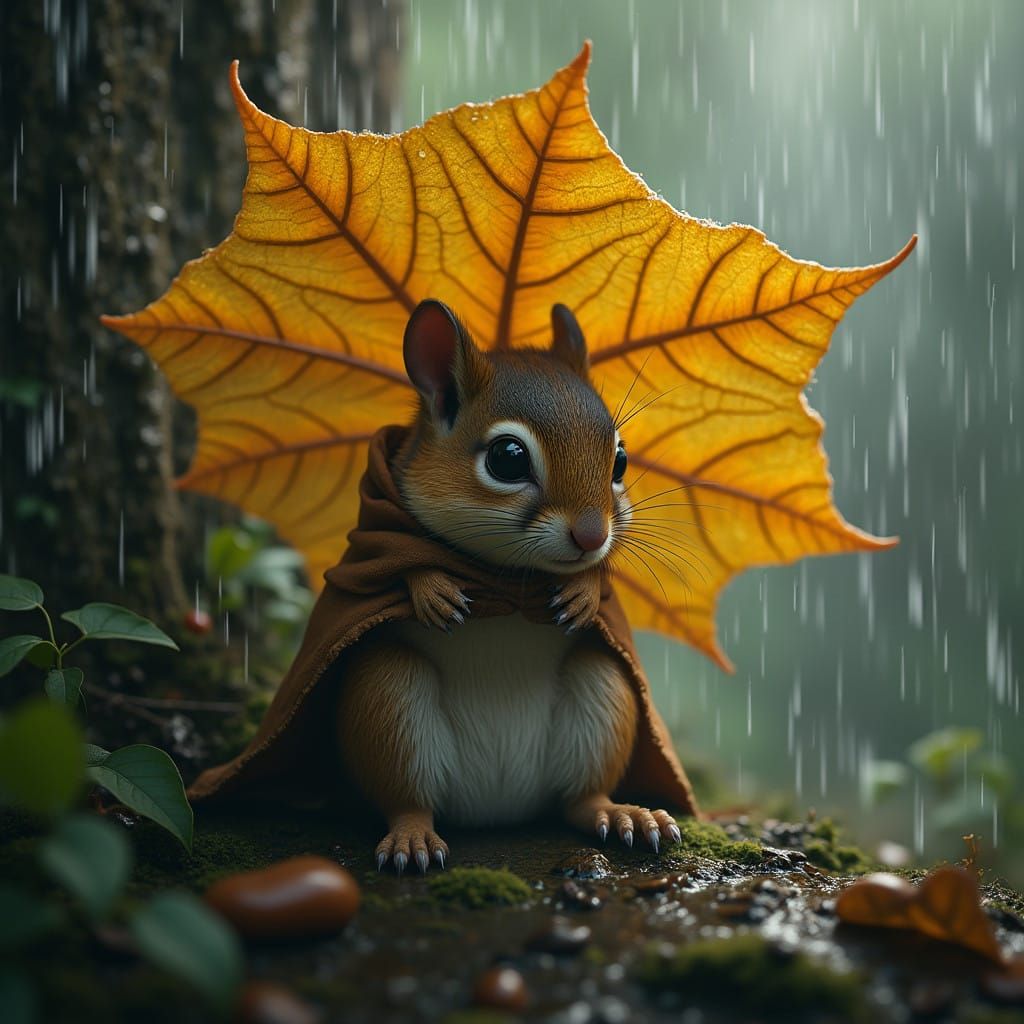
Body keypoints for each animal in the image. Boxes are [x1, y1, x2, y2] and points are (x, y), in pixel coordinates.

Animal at [337, 299, 683, 873]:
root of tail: (496, 808)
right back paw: (412, 837)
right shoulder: (375, 540)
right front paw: (431, 588)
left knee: (579, 798)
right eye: (508, 458)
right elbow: (397, 558)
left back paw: (623, 814)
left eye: (621, 460)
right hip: (389, 702)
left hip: (602, 695)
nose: (592, 535)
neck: (506, 578)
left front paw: (584, 591)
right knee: (407, 800)